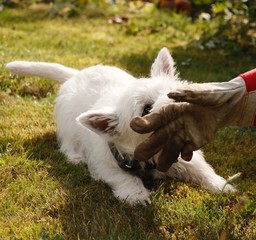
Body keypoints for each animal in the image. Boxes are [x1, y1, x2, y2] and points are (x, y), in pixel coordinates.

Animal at [6, 48, 235, 204]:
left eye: (171, 91)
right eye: (146, 109)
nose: (181, 104)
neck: (147, 158)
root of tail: (75, 74)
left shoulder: (182, 156)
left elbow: (202, 169)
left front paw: (223, 186)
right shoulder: (104, 166)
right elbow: (124, 177)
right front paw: (137, 195)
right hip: (67, 123)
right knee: (67, 143)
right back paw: (75, 157)